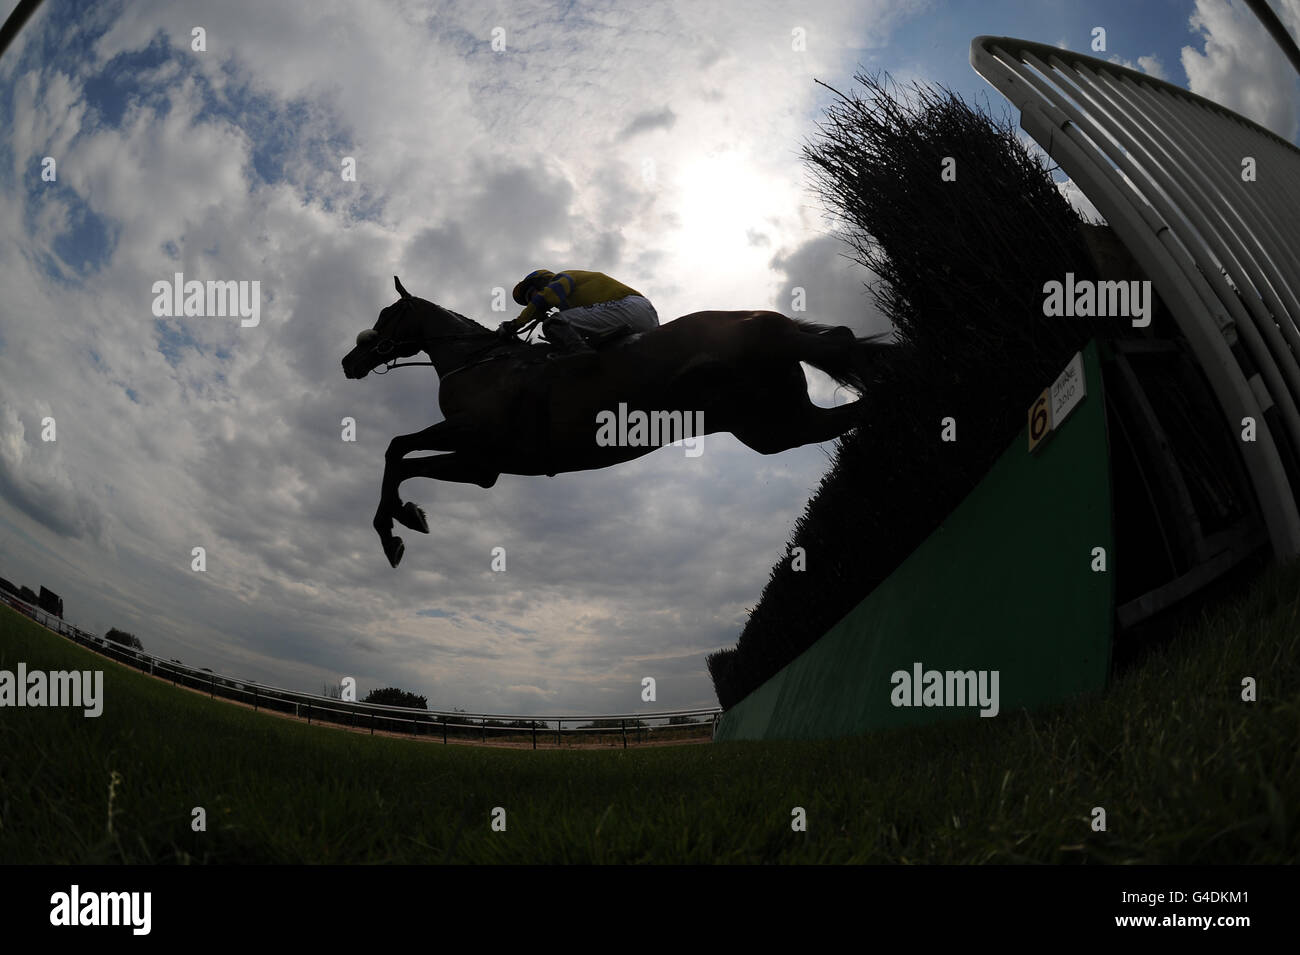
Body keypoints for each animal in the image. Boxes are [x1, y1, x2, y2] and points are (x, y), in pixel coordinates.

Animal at [345, 276, 894, 566]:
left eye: (387, 314)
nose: (350, 360)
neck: (480, 362)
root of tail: (763, 315)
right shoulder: (484, 464)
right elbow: (405, 462)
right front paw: (407, 517)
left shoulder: (477, 434)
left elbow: (395, 448)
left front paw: (391, 529)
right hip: (772, 426)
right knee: (851, 396)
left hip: (769, 391)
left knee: (850, 358)